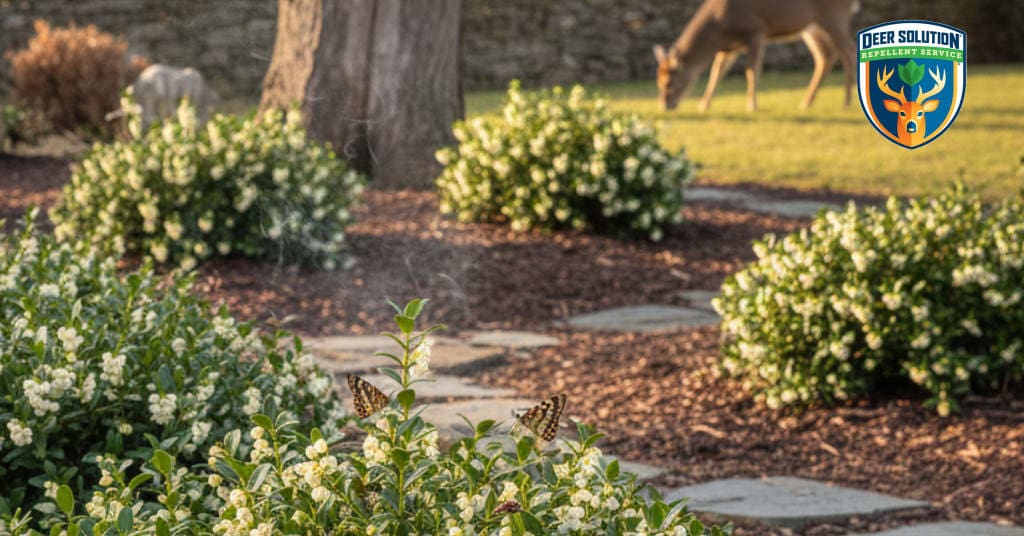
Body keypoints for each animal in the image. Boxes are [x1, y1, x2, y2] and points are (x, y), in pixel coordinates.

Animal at [653, 0, 860, 113]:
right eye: (658, 82)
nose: (665, 105)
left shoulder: (756, 29)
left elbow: (751, 69)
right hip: (811, 26)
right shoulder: (728, 47)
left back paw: (847, 101)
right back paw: (806, 102)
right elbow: (717, 71)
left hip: (834, 16)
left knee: (849, 51)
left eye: (669, 83)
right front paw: (704, 105)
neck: (720, 26)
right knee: (825, 56)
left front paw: (752, 105)